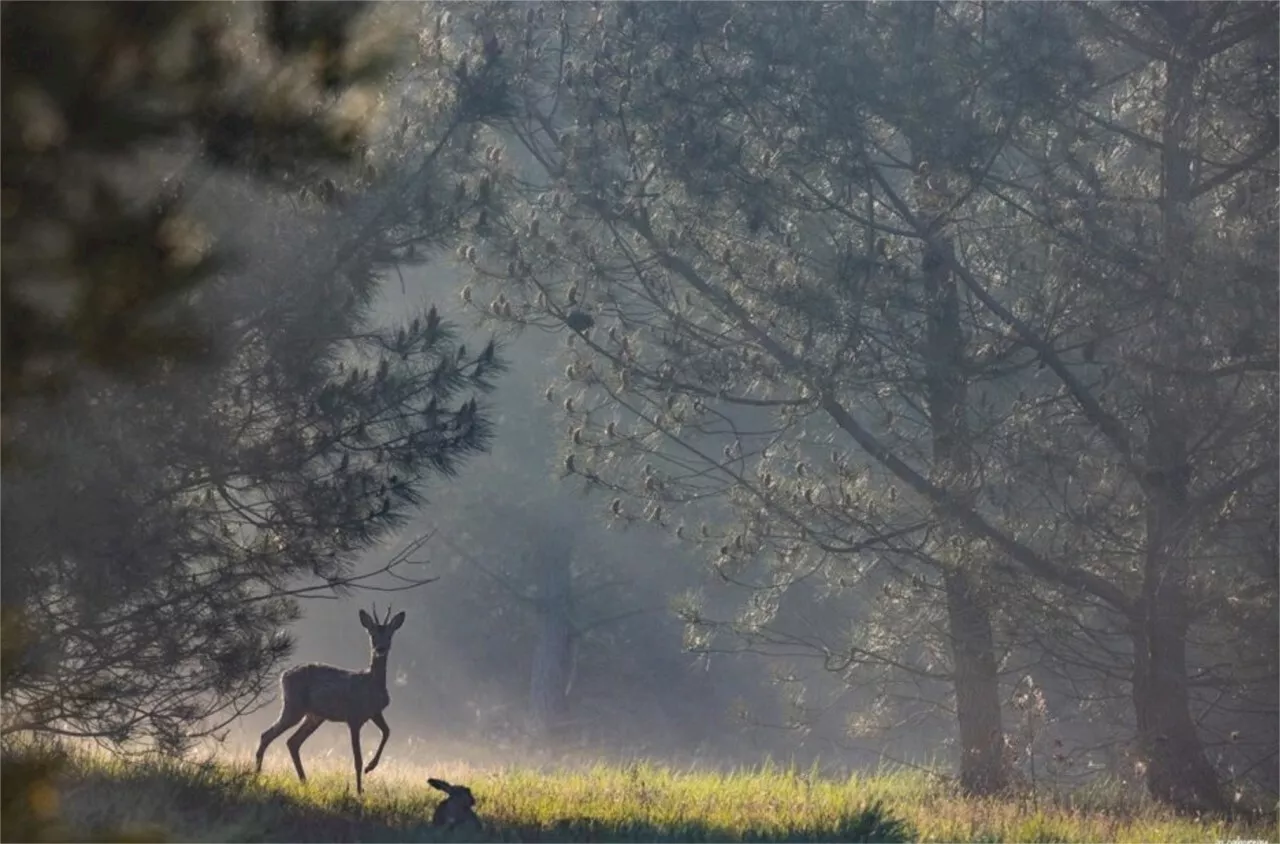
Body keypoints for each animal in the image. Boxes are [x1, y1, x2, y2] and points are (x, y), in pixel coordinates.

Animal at [254, 607, 404, 794]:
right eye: (373, 635)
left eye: (389, 635)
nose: (381, 648)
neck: (372, 684)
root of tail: (283, 676)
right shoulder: (354, 717)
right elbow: (357, 759)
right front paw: (359, 790)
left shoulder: (375, 712)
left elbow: (387, 732)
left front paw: (371, 767)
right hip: (294, 706)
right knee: (267, 735)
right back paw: (257, 775)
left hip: (314, 715)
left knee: (292, 742)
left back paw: (303, 781)